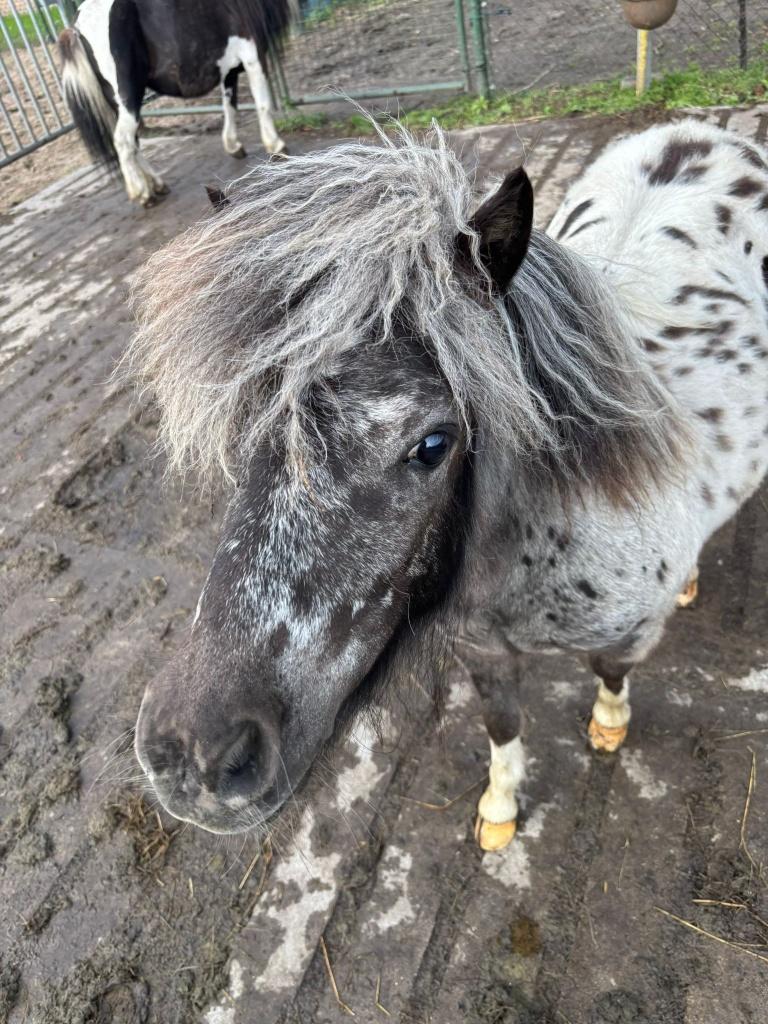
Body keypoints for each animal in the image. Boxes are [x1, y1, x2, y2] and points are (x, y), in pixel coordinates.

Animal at [58, 0, 295, 206]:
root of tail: (76, 26)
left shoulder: (229, 70)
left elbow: (230, 106)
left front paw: (233, 145)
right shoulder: (253, 56)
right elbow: (262, 103)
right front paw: (276, 146)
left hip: (118, 102)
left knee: (133, 142)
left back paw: (157, 185)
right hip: (129, 95)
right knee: (123, 141)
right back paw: (142, 193)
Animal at [126, 120, 768, 851]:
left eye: (432, 446)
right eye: (249, 419)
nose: (192, 758)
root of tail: (700, 133)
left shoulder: (626, 635)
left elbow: (610, 674)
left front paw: (608, 725)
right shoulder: (480, 650)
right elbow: (502, 723)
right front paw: (501, 807)